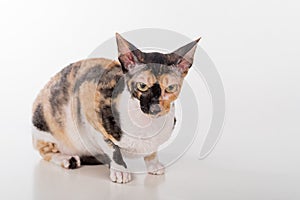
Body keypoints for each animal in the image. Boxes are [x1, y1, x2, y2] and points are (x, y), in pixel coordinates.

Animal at [31, 33, 200, 184]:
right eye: (142, 86)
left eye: (170, 88)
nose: (155, 108)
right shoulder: (88, 109)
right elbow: (113, 149)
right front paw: (120, 170)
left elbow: (152, 151)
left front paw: (153, 164)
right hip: (46, 124)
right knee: (44, 151)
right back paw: (67, 159)